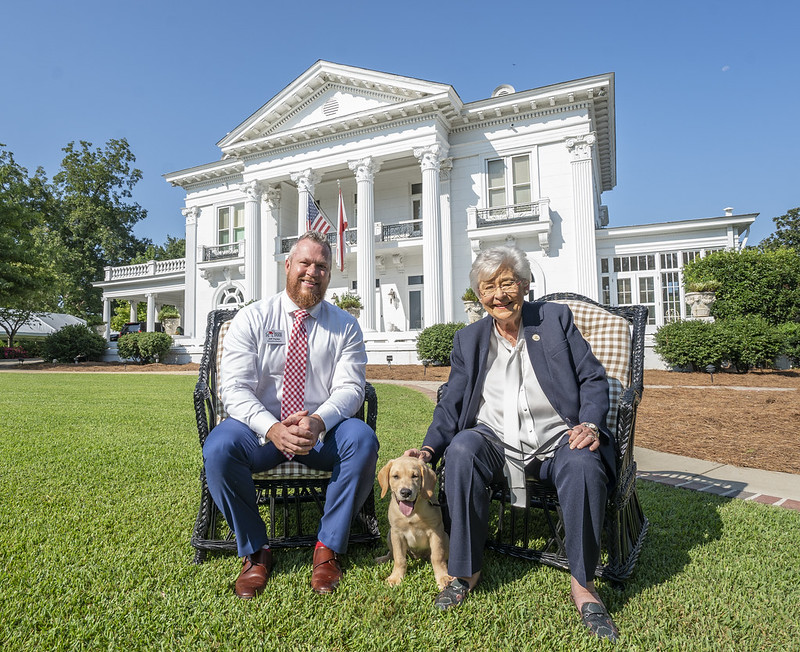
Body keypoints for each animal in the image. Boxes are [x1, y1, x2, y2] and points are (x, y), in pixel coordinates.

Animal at [376, 456, 450, 588]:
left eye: (415, 476)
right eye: (395, 476)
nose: (405, 492)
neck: (412, 514)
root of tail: (417, 557)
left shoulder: (436, 531)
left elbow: (437, 557)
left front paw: (442, 577)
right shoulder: (397, 533)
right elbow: (399, 558)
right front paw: (396, 577)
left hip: (445, 537)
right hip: (390, 535)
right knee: (392, 553)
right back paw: (382, 559)